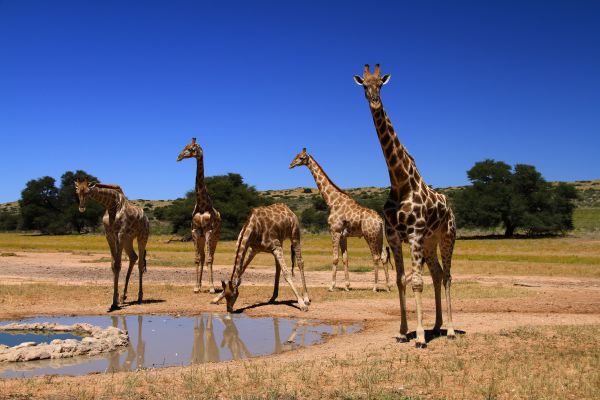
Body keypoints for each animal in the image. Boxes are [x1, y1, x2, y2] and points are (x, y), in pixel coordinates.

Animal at [75, 179, 150, 312]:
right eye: (77, 191)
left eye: (88, 192)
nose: (82, 208)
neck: (111, 205)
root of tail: (146, 218)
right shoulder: (109, 235)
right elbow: (113, 265)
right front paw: (116, 299)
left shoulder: (120, 234)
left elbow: (118, 265)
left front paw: (114, 303)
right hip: (128, 239)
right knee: (133, 257)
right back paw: (124, 296)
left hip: (142, 236)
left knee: (140, 263)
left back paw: (140, 297)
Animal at [177, 138, 221, 294]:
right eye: (184, 147)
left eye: (191, 149)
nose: (178, 157)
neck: (202, 205)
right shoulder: (195, 231)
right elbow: (197, 258)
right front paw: (196, 287)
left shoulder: (208, 231)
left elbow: (208, 259)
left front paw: (212, 287)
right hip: (201, 237)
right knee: (202, 257)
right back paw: (201, 285)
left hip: (215, 237)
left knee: (211, 257)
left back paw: (209, 286)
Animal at [290, 148, 392, 292]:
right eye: (296, 156)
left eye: (301, 157)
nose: (291, 164)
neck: (331, 201)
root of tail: (380, 220)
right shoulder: (344, 235)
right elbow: (345, 259)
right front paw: (347, 286)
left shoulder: (335, 231)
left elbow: (335, 258)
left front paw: (331, 286)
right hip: (380, 236)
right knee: (383, 257)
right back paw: (388, 286)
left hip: (369, 235)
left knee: (376, 257)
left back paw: (375, 287)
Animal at [354, 63, 458, 346]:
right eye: (364, 86)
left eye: (380, 84)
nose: (374, 102)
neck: (401, 182)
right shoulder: (393, 236)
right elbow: (401, 280)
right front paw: (403, 332)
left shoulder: (414, 234)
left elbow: (416, 282)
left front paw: (420, 337)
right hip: (430, 243)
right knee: (437, 273)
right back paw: (437, 325)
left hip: (447, 237)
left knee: (447, 276)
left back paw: (451, 330)